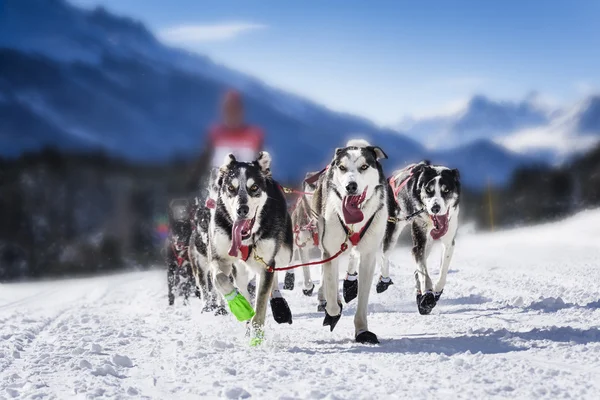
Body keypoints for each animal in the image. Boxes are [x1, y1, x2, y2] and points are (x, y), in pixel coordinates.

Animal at [210, 151, 294, 344]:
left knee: (275, 276)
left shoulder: (266, 263)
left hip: (284, 255)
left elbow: (261, 302)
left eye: (254, 187)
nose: (242, 209)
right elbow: (219, 279)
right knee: (243, 285)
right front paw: (238, 305)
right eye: (231, 188)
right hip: (240, 270)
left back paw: (278, 305)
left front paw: (257, 334)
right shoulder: (220, 258)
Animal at [312, 139, 392, 342]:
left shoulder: (369, 256)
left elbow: (363, 299)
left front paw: (362, 331)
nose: (351, 186)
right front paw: (333, 311)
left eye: (364, 166)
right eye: (342, 167)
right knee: (327, 277)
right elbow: (332, 296)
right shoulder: (331, 250)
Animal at [382, 161, 462, 314]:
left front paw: (436, 291)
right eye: (429, 190)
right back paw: (383, 280)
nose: (435, 208)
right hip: (393, 229)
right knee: (384, 255)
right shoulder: (419, 243)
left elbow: (443, 272)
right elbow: (424, 272)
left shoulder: (448, 243)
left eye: (446, 190)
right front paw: (428, 295)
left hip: (428, 243)